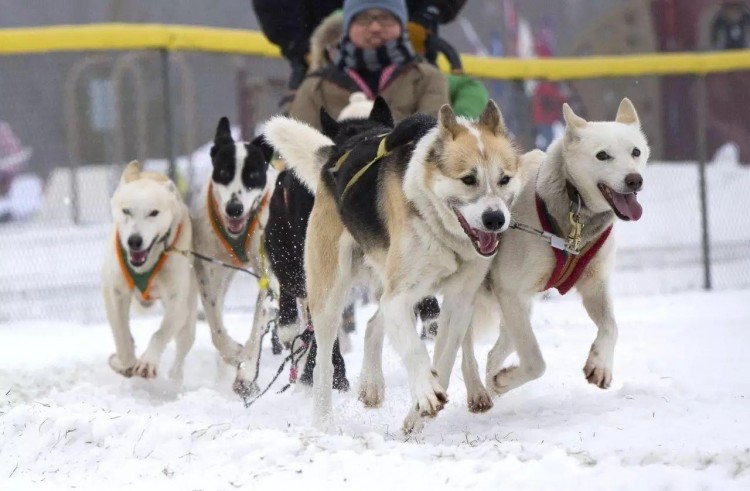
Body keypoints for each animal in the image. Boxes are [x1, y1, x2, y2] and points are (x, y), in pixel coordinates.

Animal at [101, 160, 198, 380]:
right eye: (126, 211)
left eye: (153, 212)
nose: (134, 241)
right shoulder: (115, 293)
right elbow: (121, 334)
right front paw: (127, 362)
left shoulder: (177, 305)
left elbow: (160, 333)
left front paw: (147, 362)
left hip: (188, 318)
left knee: (182, 350)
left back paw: (174, 379)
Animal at [266, 101, 524, 434]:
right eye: (469, 179)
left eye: (504, 179)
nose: (495, 219)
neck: (437, 223)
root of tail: (335, 156)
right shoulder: (400, 296)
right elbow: (415, 349)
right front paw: (426, 392)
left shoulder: (458, 301)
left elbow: (443, 358)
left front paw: (417, 416)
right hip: (330, 295)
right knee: (324, 359)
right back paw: (324, 420)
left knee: (375, 323)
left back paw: (373, 385)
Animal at [446, 97, 652, 408]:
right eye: (602, 155)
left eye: (636, 152)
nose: (634, 179)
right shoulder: (512, 292)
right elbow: (535, 361)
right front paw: (507, 379)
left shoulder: (594, 287)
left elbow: (611, 327)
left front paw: (600, 365)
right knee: (467, 348)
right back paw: (479, 390)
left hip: (515, 313)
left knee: (496, 351)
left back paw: (495, 384)